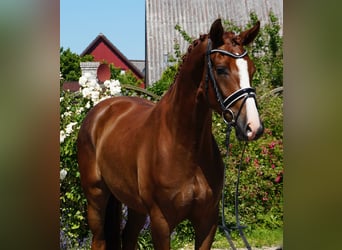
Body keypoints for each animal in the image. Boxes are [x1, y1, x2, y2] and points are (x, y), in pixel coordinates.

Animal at [79, 18, 264, 249]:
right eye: (221, 69)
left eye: (252, 69)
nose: (253, 127)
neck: (184, 146)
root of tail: (100, 110)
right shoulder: (161, 222)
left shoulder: (207, 221)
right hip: (96, 197)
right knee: (99, 239)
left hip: (135, 206)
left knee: (128, 236)